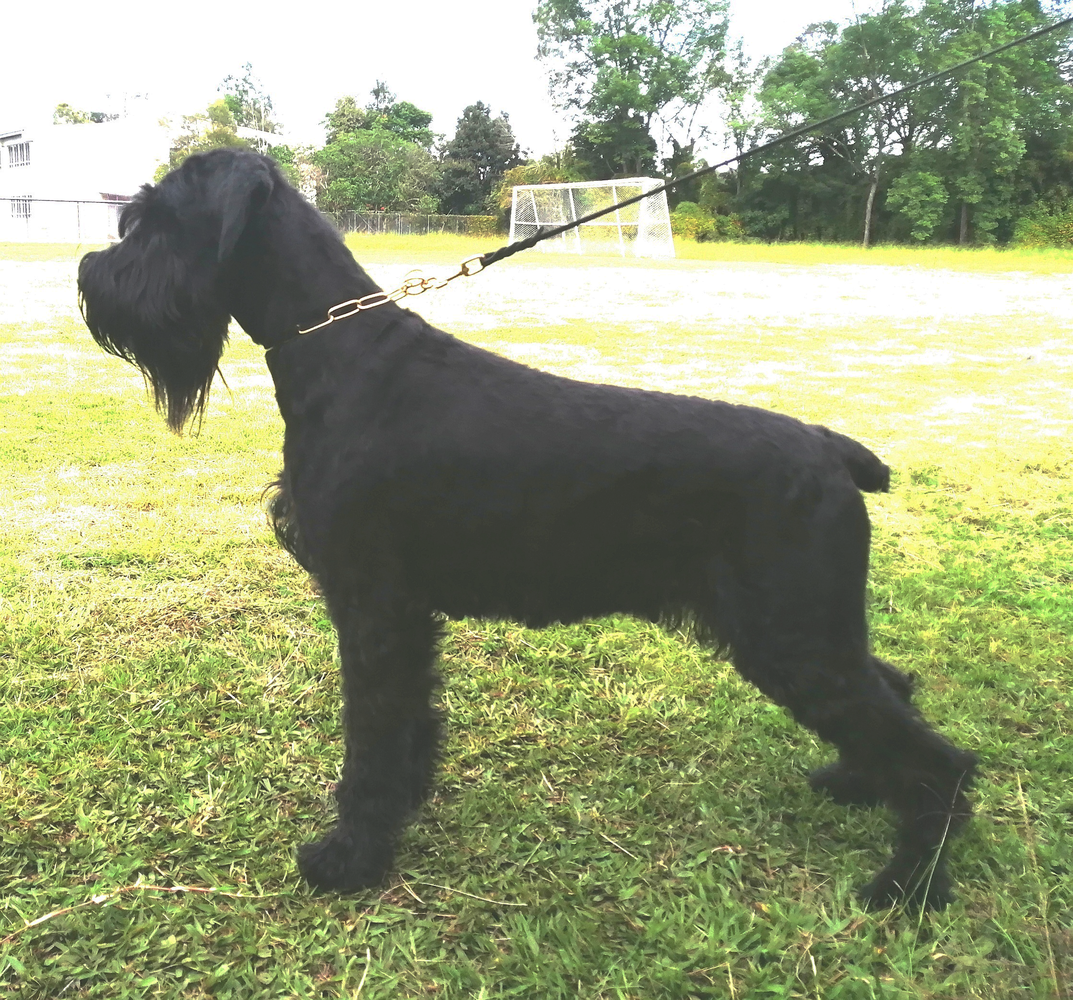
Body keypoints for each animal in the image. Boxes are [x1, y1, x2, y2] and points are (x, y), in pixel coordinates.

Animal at [79, 148, 978, 905]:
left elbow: (370, 733)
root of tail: (831, 450)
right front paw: (406, 805)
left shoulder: (370, 605)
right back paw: (855, 785)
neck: (340, 348)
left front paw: (349, 856)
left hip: (793, 635)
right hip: (805, 631)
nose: (90, 277)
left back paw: (907, 885)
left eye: (154, 221)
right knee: (892, 690)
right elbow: (409, 717)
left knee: (938, 758)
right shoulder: (406, 614)